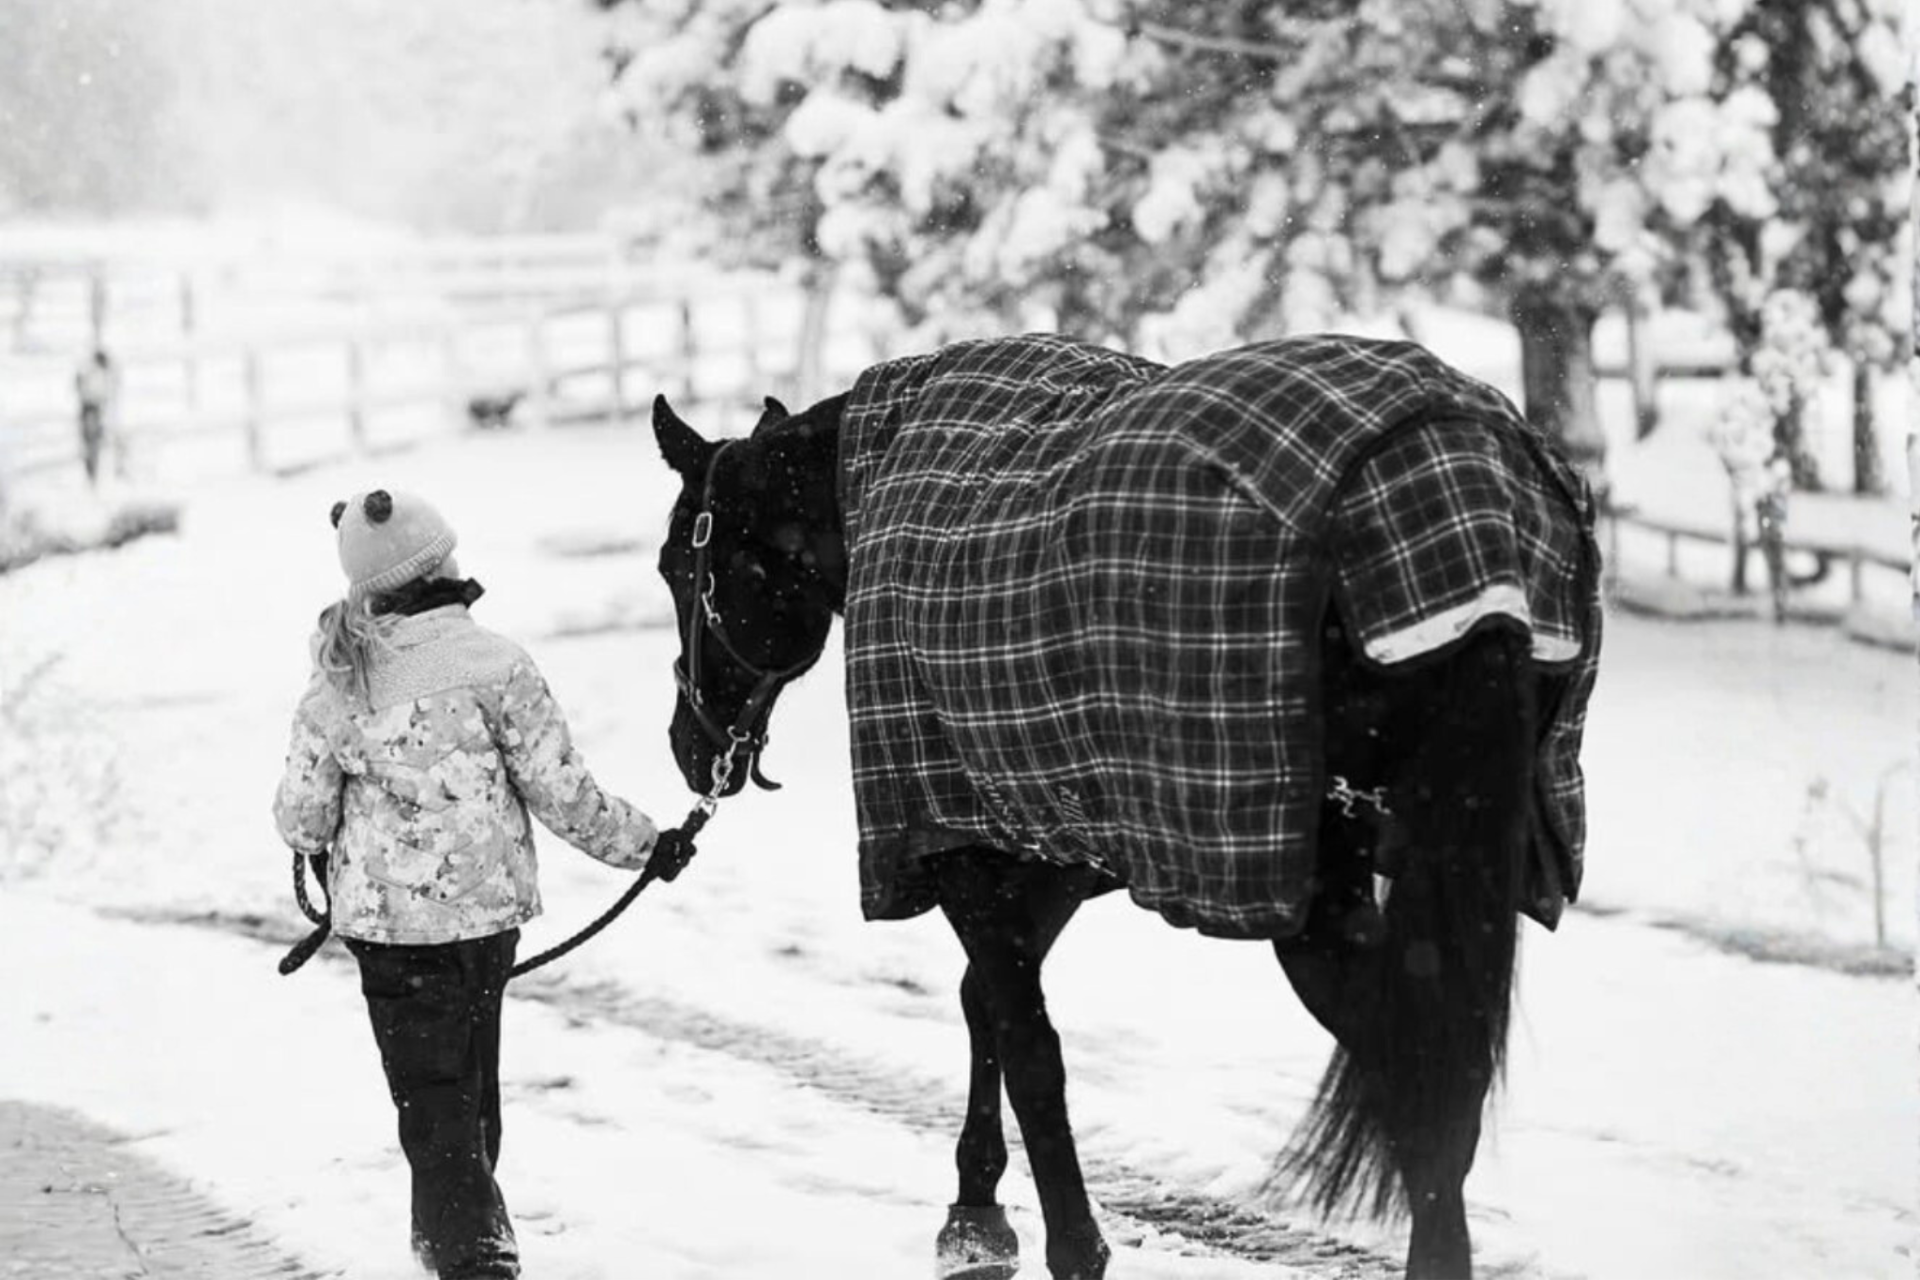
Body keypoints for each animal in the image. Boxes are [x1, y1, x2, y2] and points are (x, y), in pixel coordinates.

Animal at [647, 333, 1601, 1280]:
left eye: (676, 566)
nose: (690, 744)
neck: (875, 483)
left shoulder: (953, 840)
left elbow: (1030, 1050)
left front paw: (1059, 1241)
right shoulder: (1055, 836)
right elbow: (984, 1004)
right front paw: (975, 1216)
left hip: (1316, 895)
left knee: (1420, 1082)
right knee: (1447, 1094)